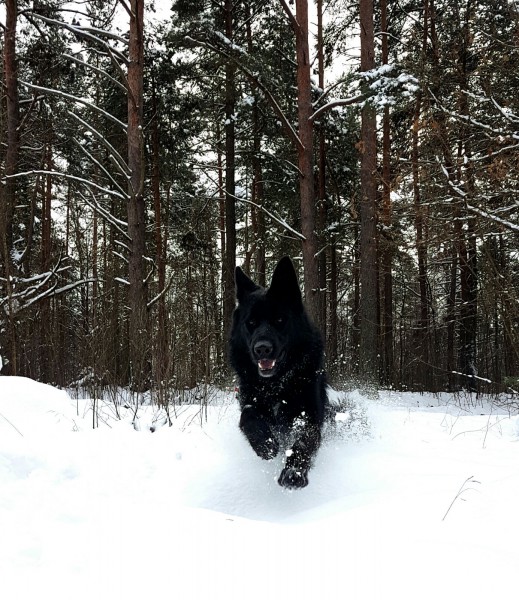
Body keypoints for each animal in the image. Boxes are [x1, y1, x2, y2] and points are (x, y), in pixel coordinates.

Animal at [229, 256, 327, 489]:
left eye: (280, 320)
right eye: (251, 323)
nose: (262, 349)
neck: (277, 384)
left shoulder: (311, 414)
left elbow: (304, 440)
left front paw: (293, 472)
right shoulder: (248, 399)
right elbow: (247, 415)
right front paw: (265, 444)